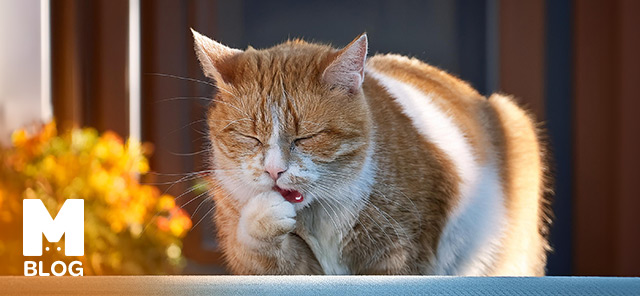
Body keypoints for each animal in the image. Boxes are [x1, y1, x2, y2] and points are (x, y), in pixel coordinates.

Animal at [192, 28, 552, 276]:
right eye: (250, 137)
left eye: (307, 137)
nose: (274, 170)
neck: (317, 215)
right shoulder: (276, 267)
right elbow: (255, 247)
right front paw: (263, 217)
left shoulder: (399, 257)